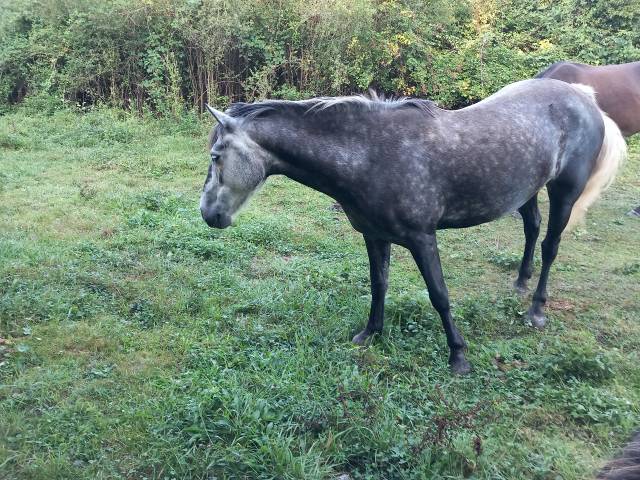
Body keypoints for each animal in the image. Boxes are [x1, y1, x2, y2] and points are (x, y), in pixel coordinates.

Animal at [199, 79, 624, 376]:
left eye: (216, 156)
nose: (207, 214)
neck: (371, 154)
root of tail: (585, 97)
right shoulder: (374, 235)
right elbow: (379, 284)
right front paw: (370, 333)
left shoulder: (422, 239)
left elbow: (439, 295)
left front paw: (458, 356)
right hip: (526, 190)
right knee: (532, 229)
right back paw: (519, 283)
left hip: (565, 192)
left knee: (551, 245)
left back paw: (536, 309)